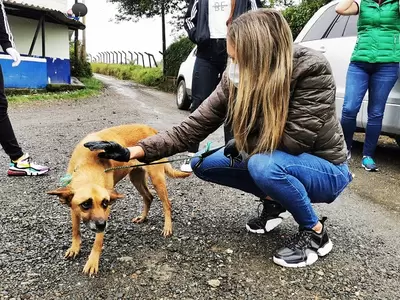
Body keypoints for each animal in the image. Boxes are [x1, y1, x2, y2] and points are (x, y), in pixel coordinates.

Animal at [47, 123, 191, 274]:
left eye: (105, 203)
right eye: (85, 204)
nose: (102, 225)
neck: (88, 165)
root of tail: (151, 129)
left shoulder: (105, 212)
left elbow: (98, 241)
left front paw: (92, 261)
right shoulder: (73, 209)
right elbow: (75, 230)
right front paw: (75, 248)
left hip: (157, 179)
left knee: (167, 204)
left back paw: (167, 227)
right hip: (136, 178)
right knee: (149, 197)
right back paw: (142, 217)